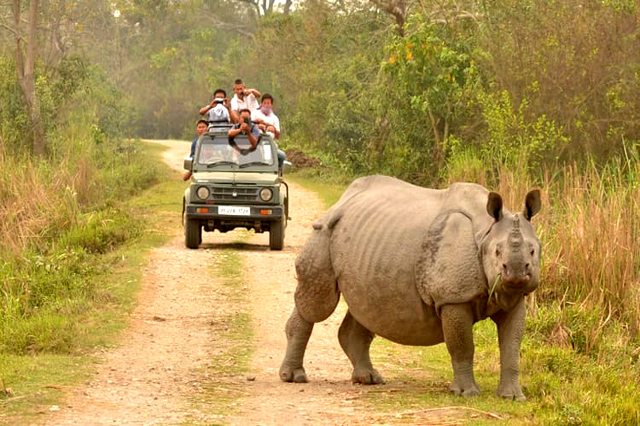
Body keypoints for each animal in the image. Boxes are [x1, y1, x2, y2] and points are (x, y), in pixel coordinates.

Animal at [279, 175, 542, 400]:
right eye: (497, 252)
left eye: (533, 251)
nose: (517, 273)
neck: (486, 231)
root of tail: (344, 198)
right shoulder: (453, 298)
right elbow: (463, 346)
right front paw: (467, 393)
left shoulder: (515, 298)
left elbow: (512, 347)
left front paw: (513, 397)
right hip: (324, 230)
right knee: (318, 305)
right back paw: (294, 377)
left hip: (367, 242)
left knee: (364, 306)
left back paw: (369, 379)